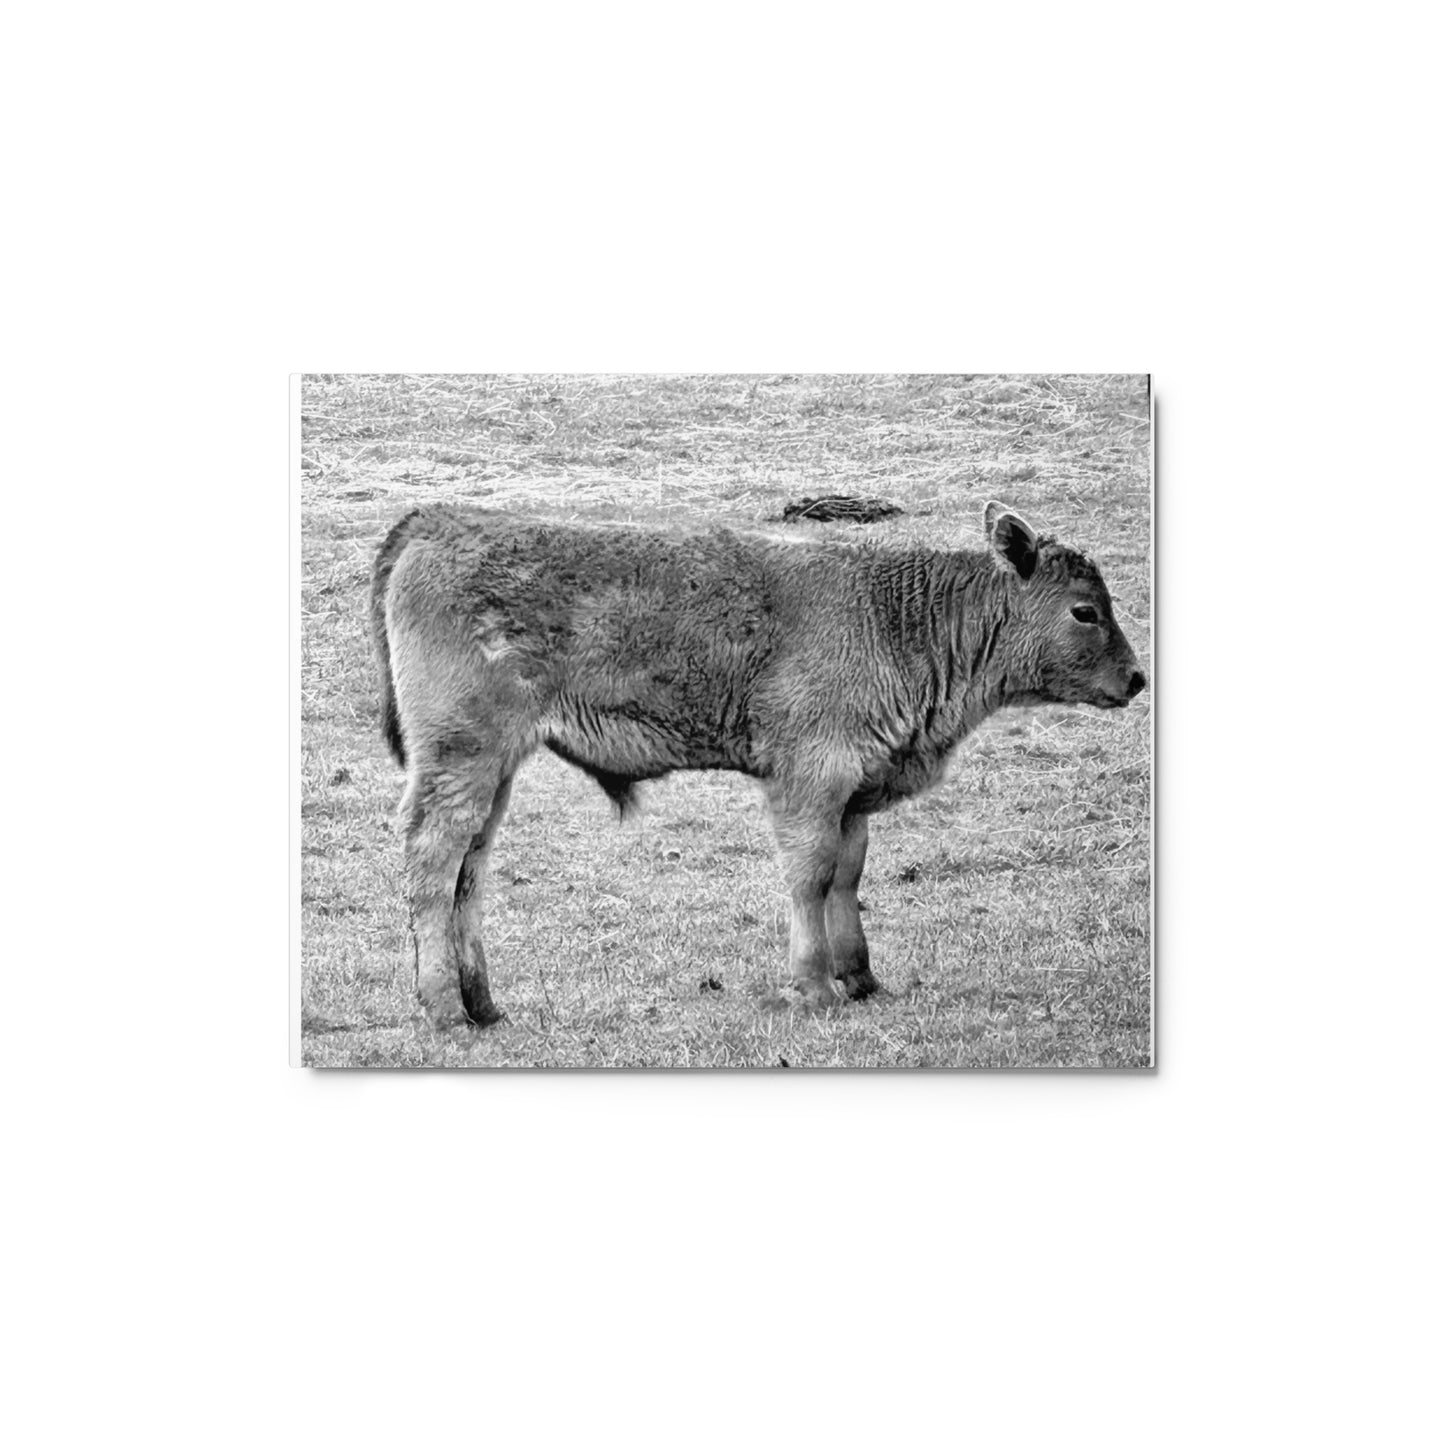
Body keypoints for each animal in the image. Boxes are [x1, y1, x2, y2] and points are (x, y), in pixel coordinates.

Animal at [371, 500, 1146, 1028]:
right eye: (1084, 610)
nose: (1138, 679)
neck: (892, 616)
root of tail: (437, 520)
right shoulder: (809, 779)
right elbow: (809, 876)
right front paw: (813, 986)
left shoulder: (852, 792)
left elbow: (846, 874)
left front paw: (861, 978)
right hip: (461, 758)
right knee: (432, 858)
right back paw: (444, 1008)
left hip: (493, 769)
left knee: (469, 870)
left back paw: (483, 1003)